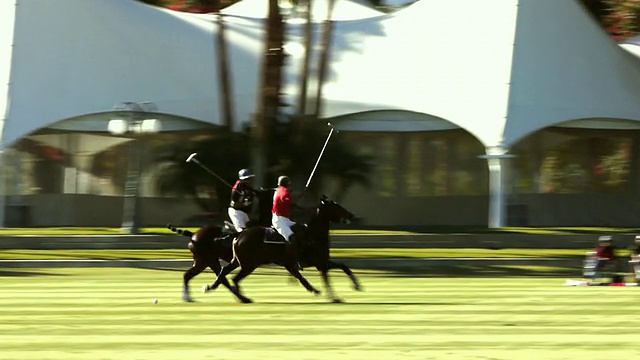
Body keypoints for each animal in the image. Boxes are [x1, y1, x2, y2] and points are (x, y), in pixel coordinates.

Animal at [204, 195, 360, 302]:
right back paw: (243, 298)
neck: (313, 235)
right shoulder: (319, 263)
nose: (352, 215)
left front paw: (357, 286)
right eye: (336, 206)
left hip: (238, 261)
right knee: (235, 278)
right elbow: (326, 280)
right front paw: (334, 298)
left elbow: (343, 266)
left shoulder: (321, 262)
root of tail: (240, 233)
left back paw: (216, 288)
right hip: (249, 264)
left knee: (225, 272)